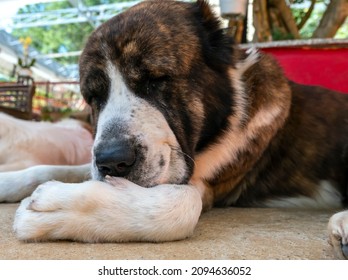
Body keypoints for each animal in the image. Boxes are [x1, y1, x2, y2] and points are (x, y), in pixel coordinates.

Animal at [0, 0, 346, 260]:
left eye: (156, 80)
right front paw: (9, 181)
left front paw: (56, 207)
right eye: (94, 96)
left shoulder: (206, 185)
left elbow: (181, 204)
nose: (112, 161)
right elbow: (49, 168)